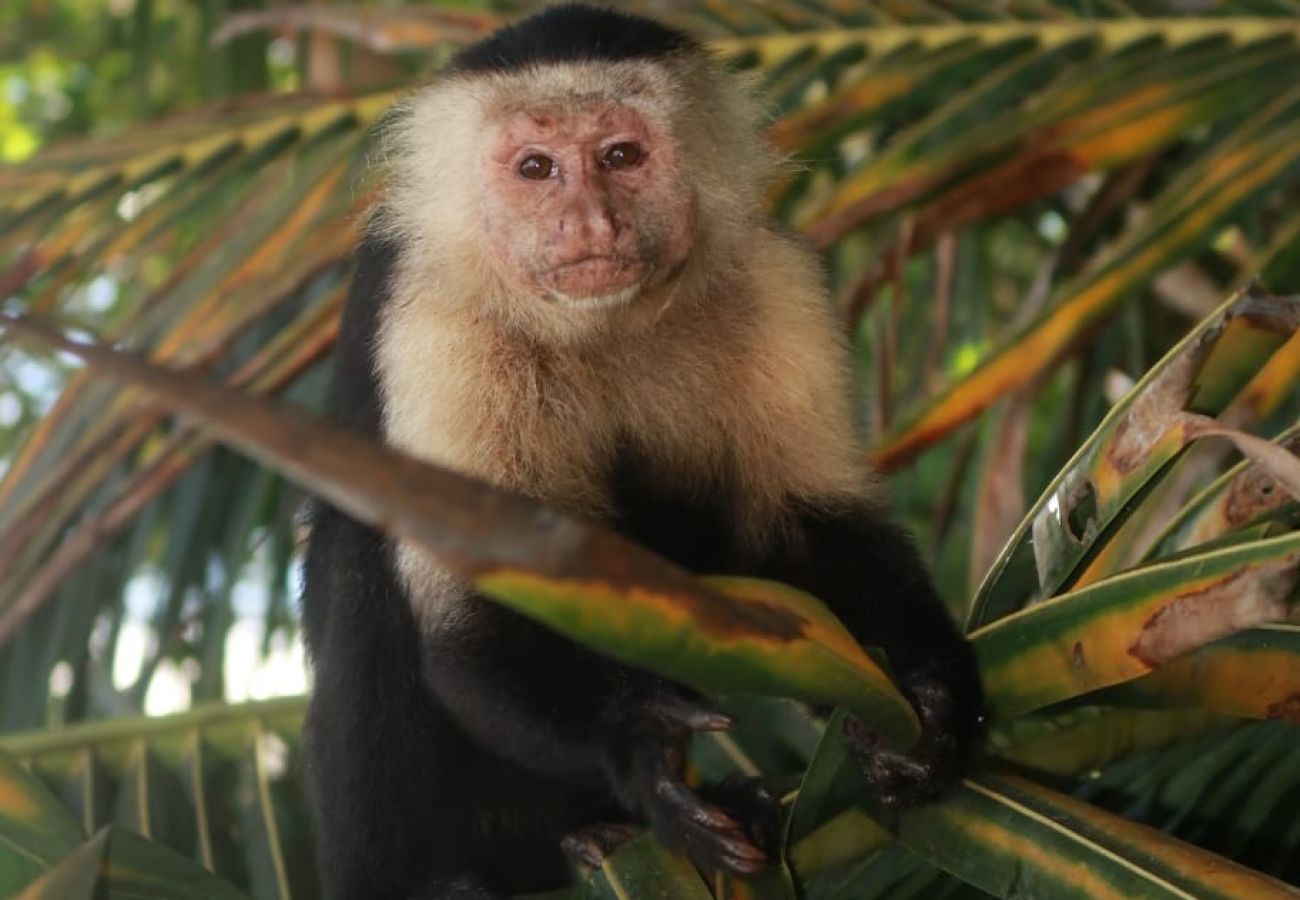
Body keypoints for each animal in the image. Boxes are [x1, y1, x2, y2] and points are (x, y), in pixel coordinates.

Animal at [301, 3, 977, 894]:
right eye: (536, 168)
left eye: (621, 156)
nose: (590, 223)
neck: (601, 324)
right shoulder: (436, 325)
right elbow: (479, 607)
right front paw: (641, 750)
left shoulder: (775, 279)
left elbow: (803, 530)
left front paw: (931, 692)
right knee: (361, 576)